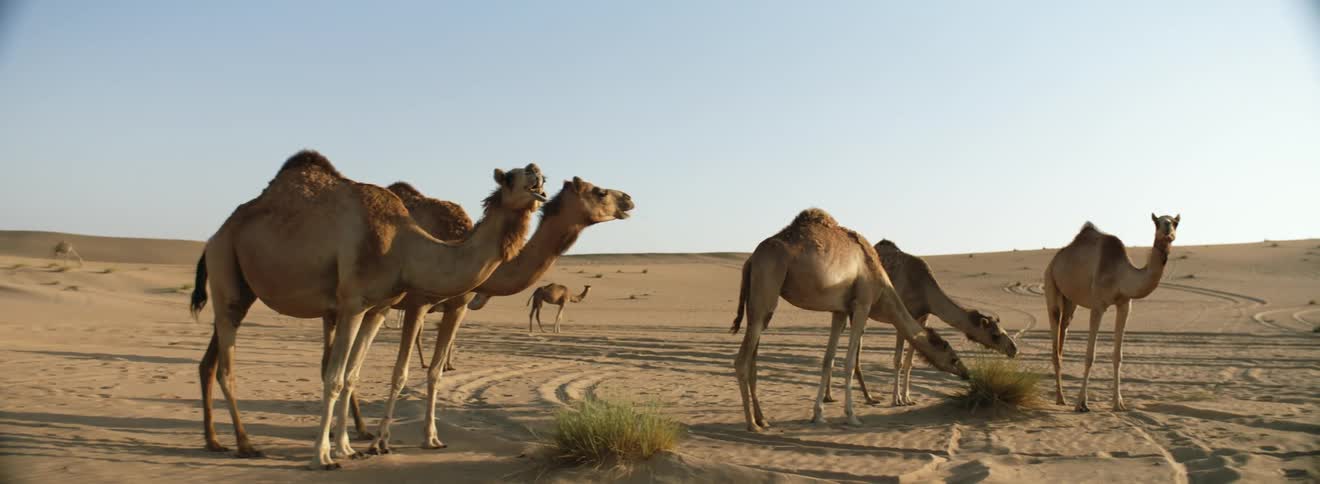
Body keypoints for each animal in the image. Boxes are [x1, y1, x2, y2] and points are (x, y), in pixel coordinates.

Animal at [190, 150, 545, 469]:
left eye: (537, 175)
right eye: (511, 177)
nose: (537, 171)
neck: (403, 246)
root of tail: (214, 236)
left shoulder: (378, 308)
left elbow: (351, 376)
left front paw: (347, 448)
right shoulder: (353, 303)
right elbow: (334, 378)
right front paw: (324, 456)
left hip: (243, 287)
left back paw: (220, 441)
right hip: (226, 271)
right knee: (226, 366)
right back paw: (245, 444)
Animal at [364, 177, 633, 454]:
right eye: (600, 192)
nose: (629, 199)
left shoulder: (457, 306)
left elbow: (436, 372)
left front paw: (431, 438)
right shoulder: (418, 303)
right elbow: (400, 372)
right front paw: (382, 440)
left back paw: (361, 429)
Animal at [730, 209, 969, 432]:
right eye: (953, 358)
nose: (967, 373)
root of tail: (751, 259)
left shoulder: (840, 311)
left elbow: (828, 360)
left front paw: (818, 415)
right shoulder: (862, 305)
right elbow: (849, 362)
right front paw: (852, 416)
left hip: (760, 303)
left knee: (753, 357)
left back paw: (763, 419)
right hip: (767, 284)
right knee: (742, 360)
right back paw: (752, 424)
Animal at [822, 239, 1019, 406]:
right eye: (995, 335)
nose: (1013, 349)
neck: (924, 290)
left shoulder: (922, 318)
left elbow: (910, 361)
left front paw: (908, 398)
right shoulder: (901, 315)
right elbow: (898, 360)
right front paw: (896, 399)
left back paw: (850, 396)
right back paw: (839, 396)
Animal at [1045, 214, 1179, 412]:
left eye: (1176, 222)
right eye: (1157, 222)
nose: (1168, 229)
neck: (1120, 274)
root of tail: (1054, 261)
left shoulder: (1125, 305)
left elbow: (1118, 356)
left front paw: (1118, 403)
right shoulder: (1098, 305)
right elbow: (1090, 356)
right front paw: (1081, 403)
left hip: (1070, 302)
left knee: (1063, 333)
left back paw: (1060, 397)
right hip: (1050, 283)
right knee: (1055, 329)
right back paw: (1061, 399)